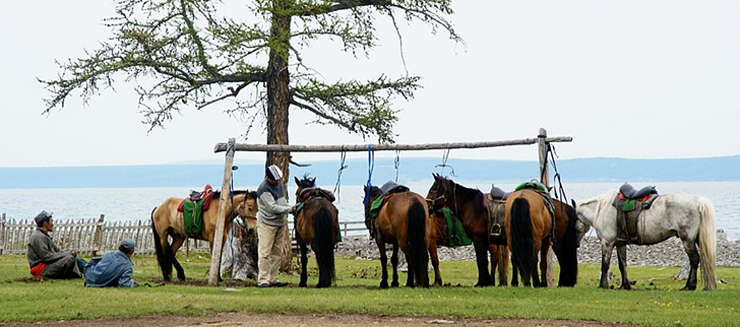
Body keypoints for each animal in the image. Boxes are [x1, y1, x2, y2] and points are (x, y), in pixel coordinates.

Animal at [572, 191, 716, 290]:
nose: (576, 244)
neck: (602, 209)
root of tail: (697, 201)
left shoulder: (607, 243)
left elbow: (605, 265)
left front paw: (603, 285)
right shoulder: (620, 244)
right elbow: (622, 265)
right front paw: (625, 285)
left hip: (687, 239)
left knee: (694, 259)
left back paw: (689, 286)